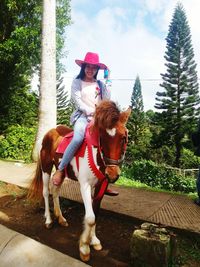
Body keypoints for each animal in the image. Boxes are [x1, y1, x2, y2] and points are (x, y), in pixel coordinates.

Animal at [28, 100, 131, 262]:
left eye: (123, 138)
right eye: (102, 136)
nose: (112, 174)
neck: (97, 155)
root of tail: (50, 132)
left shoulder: (101, 186)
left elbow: (96, 214)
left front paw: (94, 241)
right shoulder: (85, 185)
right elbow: (90, 218)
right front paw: (84, 248)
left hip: (61, 172)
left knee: (55, 191)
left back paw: (61, 218)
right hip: (46, 167)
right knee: (45, 192)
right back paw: (49, 220)